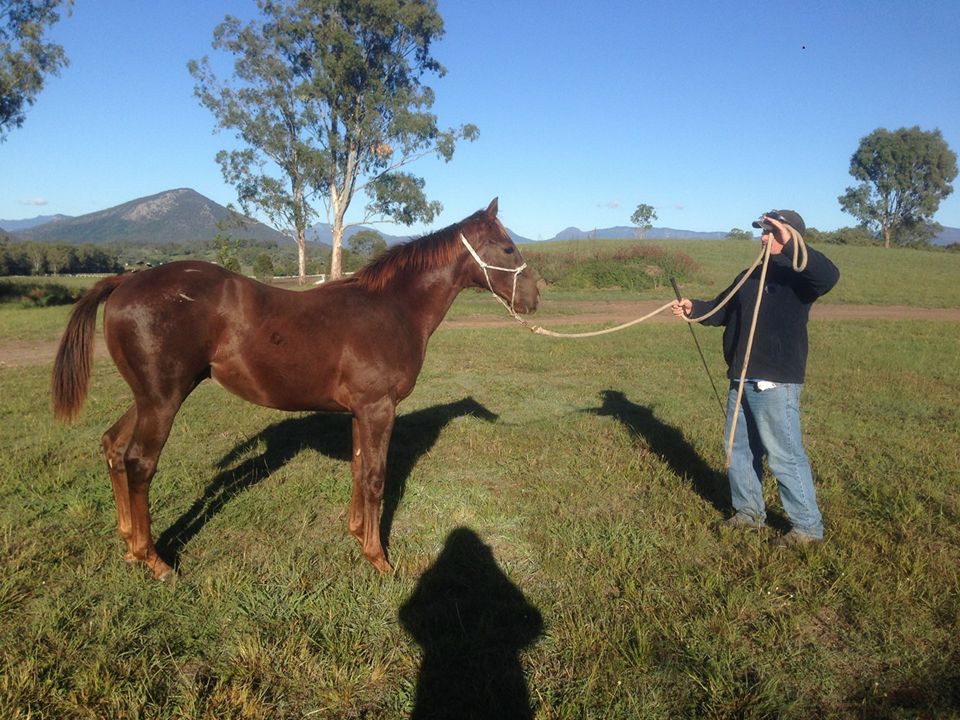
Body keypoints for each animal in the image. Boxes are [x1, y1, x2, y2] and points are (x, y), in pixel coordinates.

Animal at [50, 197, 540, 580]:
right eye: (508, 246)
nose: (533, 297)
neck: (392, 308)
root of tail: (125, 280)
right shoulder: (379, 408)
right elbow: (376, 478)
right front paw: (378, 559)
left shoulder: (361, 412)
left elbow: (359, 469)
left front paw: (356, 535)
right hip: (162, 400)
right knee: (139, 462)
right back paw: (154, 560)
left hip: (150, 397)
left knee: (113, 447)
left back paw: (129, 543)